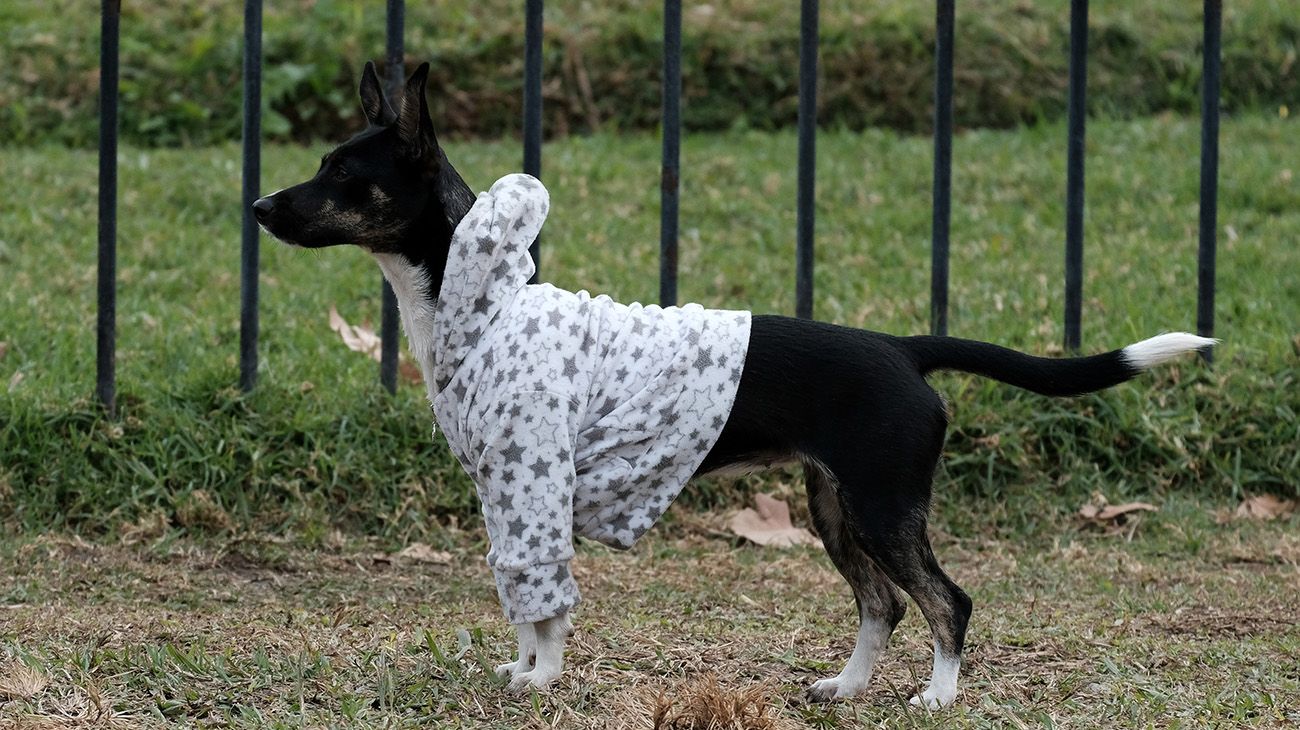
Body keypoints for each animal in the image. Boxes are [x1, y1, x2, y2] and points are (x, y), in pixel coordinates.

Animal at [256, 63, 1216, 706]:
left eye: (343, 174)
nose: (260, 206)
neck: (487, 304)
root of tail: (902, 347)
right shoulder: (508, 500)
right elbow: (526, 608)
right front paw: (526, 671)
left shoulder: (532, 492)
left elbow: (546, 608)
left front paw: (543, 681)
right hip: (835, 507)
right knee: (882, 605)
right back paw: (844, 687)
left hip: (883, 506)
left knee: (947, 601)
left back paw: (938, 696)